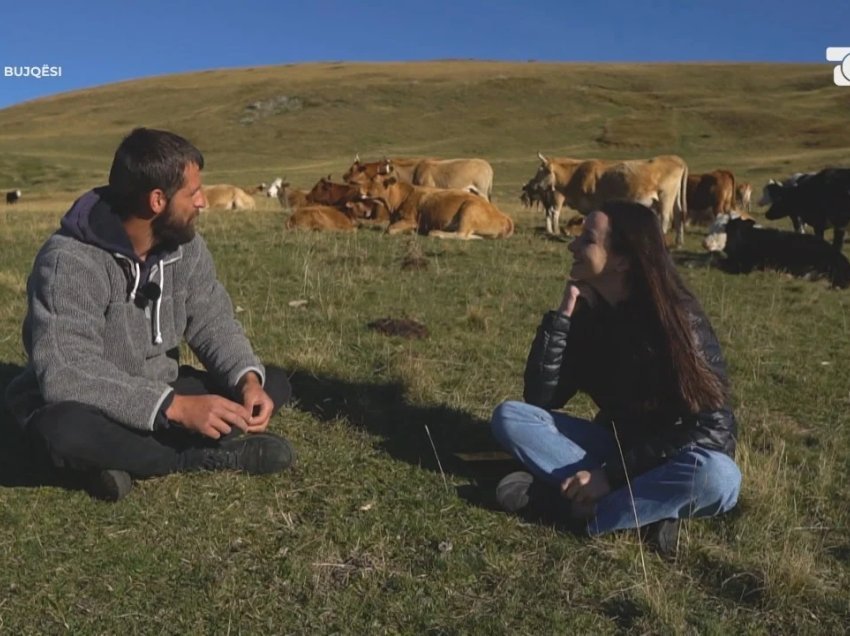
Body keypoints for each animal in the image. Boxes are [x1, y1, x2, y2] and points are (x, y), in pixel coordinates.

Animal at [362, 174, 512, 238]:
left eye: (374, 180)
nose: (361, 190)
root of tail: (504, 216)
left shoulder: (411, 220)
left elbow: (390, 229)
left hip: (469, 209)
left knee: (462, 235)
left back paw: (436, 233)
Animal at [528, 152, 688, 246]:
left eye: (540, 171)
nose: (533, 186)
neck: (575, 176)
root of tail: (677, 159)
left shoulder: (595, 203)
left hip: (665, 196)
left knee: (665, 218)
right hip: (675, 198)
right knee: (678, 214)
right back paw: (679, 242)